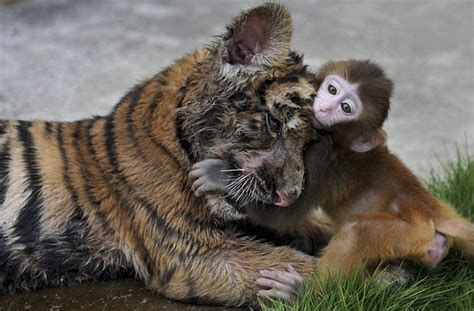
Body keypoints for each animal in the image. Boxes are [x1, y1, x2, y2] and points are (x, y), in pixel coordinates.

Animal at [190, 59, 474, 302]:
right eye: (332, 89)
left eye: (346, 108)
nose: (325, 107)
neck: (336, 140)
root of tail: (430, 207)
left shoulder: (318, 159)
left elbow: (283, 213)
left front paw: (220, 177)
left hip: (410, 234)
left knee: (355, 233)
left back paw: (304, 292)